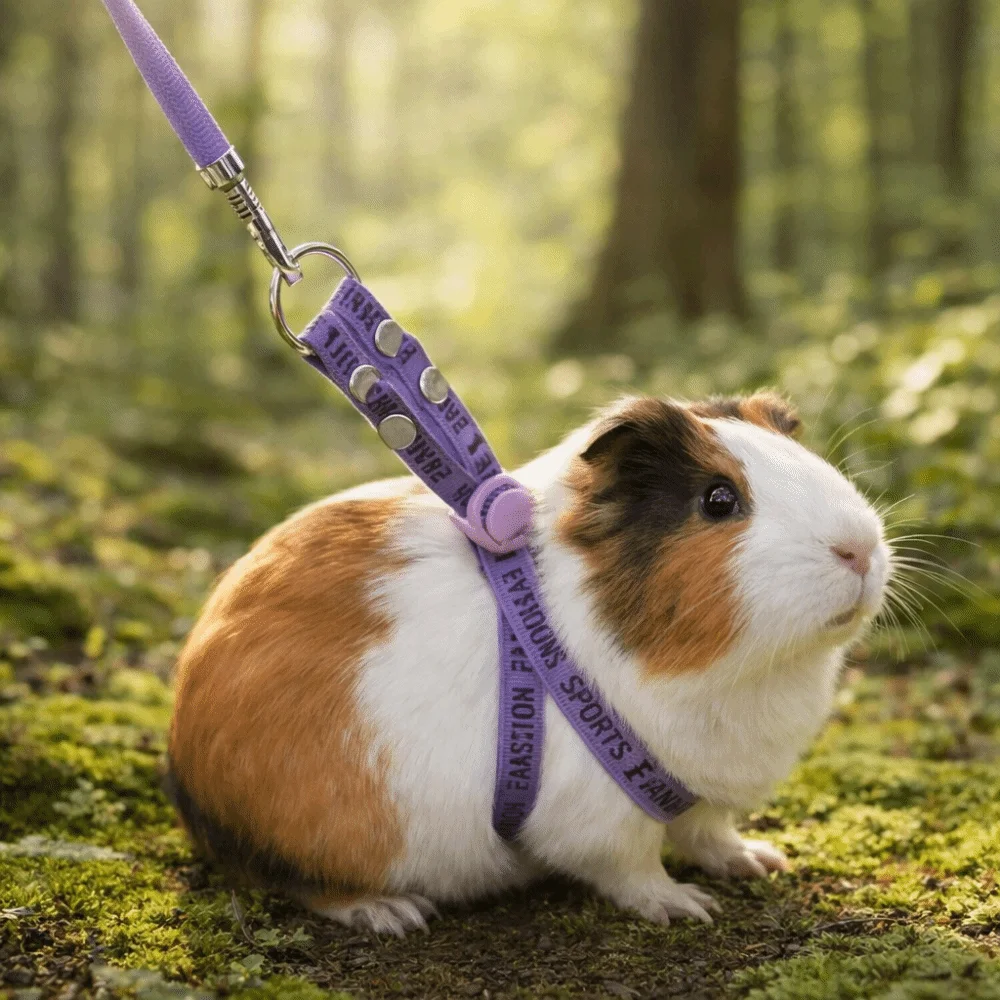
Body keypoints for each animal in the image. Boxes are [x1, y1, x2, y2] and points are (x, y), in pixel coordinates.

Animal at [167, 390, 890, 936]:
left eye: (807, 459)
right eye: (719, 499)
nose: (859, 548)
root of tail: (184, 768)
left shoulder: (701, 797)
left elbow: (712, 834)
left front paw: (762, 862)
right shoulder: (600, 817)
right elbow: (634, 869)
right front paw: (687, 908)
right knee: (301, 884)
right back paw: (394, 913)